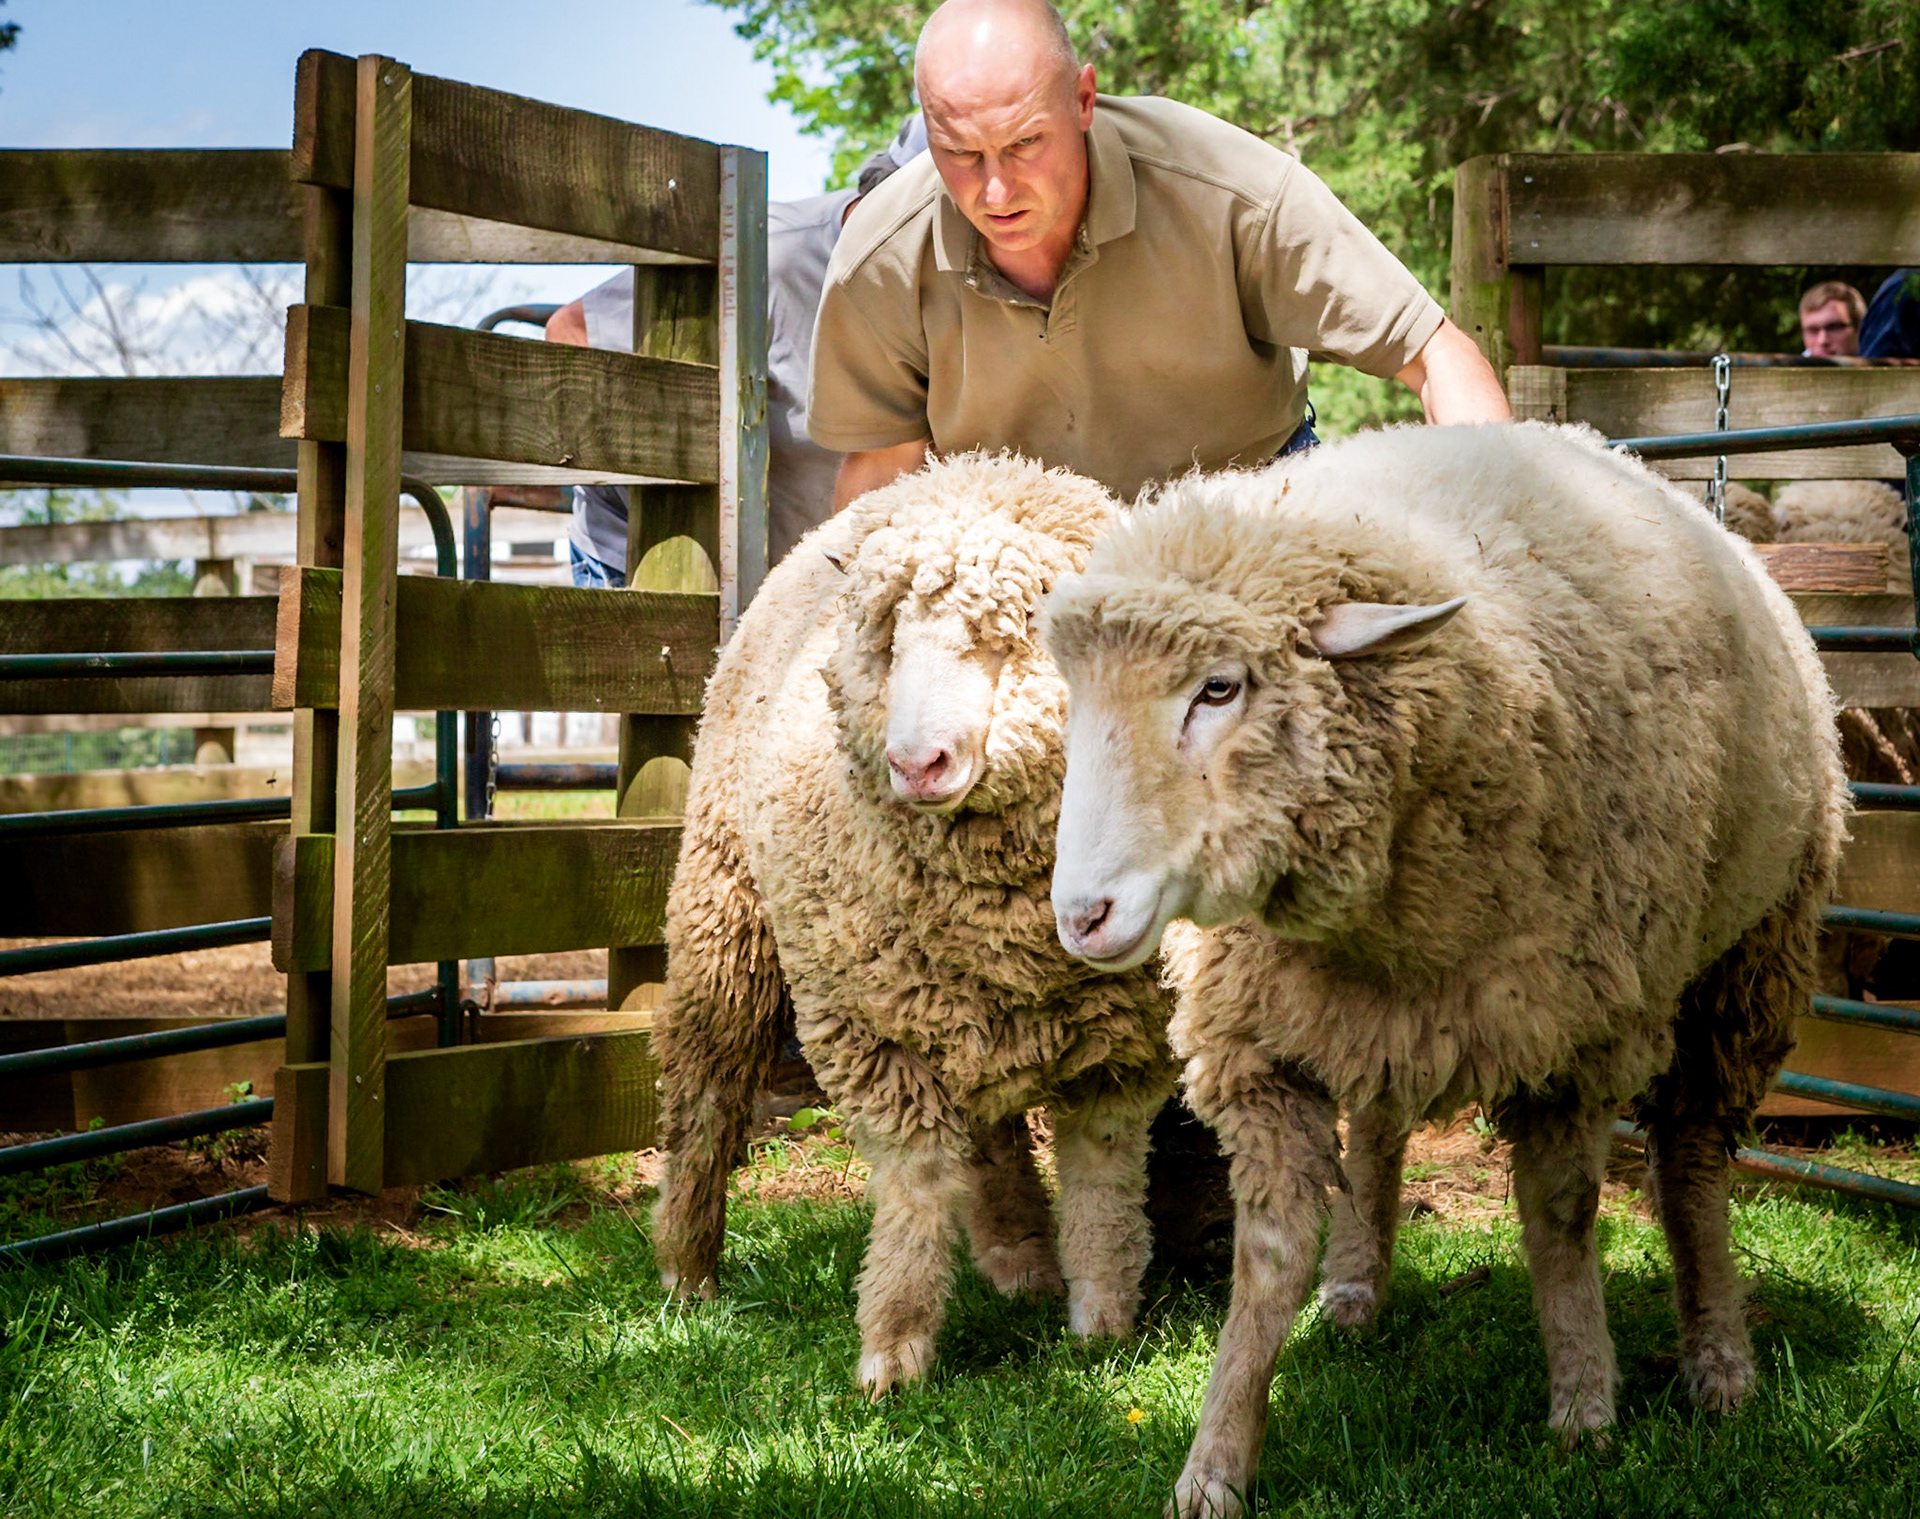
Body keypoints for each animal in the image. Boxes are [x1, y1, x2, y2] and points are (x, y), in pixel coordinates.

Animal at [650, 450, 1177, 1394]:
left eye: (1015, 633)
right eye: (890, 645)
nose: (915, 762)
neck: (1003, 917)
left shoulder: (1123, 1039)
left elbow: (1103, 1178)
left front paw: (1102, 1325)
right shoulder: (872, 1032)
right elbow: (919, 1179)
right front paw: (892, 1349)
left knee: (993, 1127)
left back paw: (1021, 1256)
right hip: (725, 900)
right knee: (707, 1076)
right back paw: (686, 1263)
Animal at [1042, 422, 1848, 1517]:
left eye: (1219, 686)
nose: (1082, 916)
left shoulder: (1575, 1034)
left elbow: (1561, 1218)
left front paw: (1584, 1405)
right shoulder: (1260, 1045)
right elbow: (1268, 1257)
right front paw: (1215, 1459)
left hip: (1748, 959)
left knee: (1689, 1154)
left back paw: (1718, 1355)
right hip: (1368, 1015)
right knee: (1380, 1125)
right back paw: (1356, 1286)